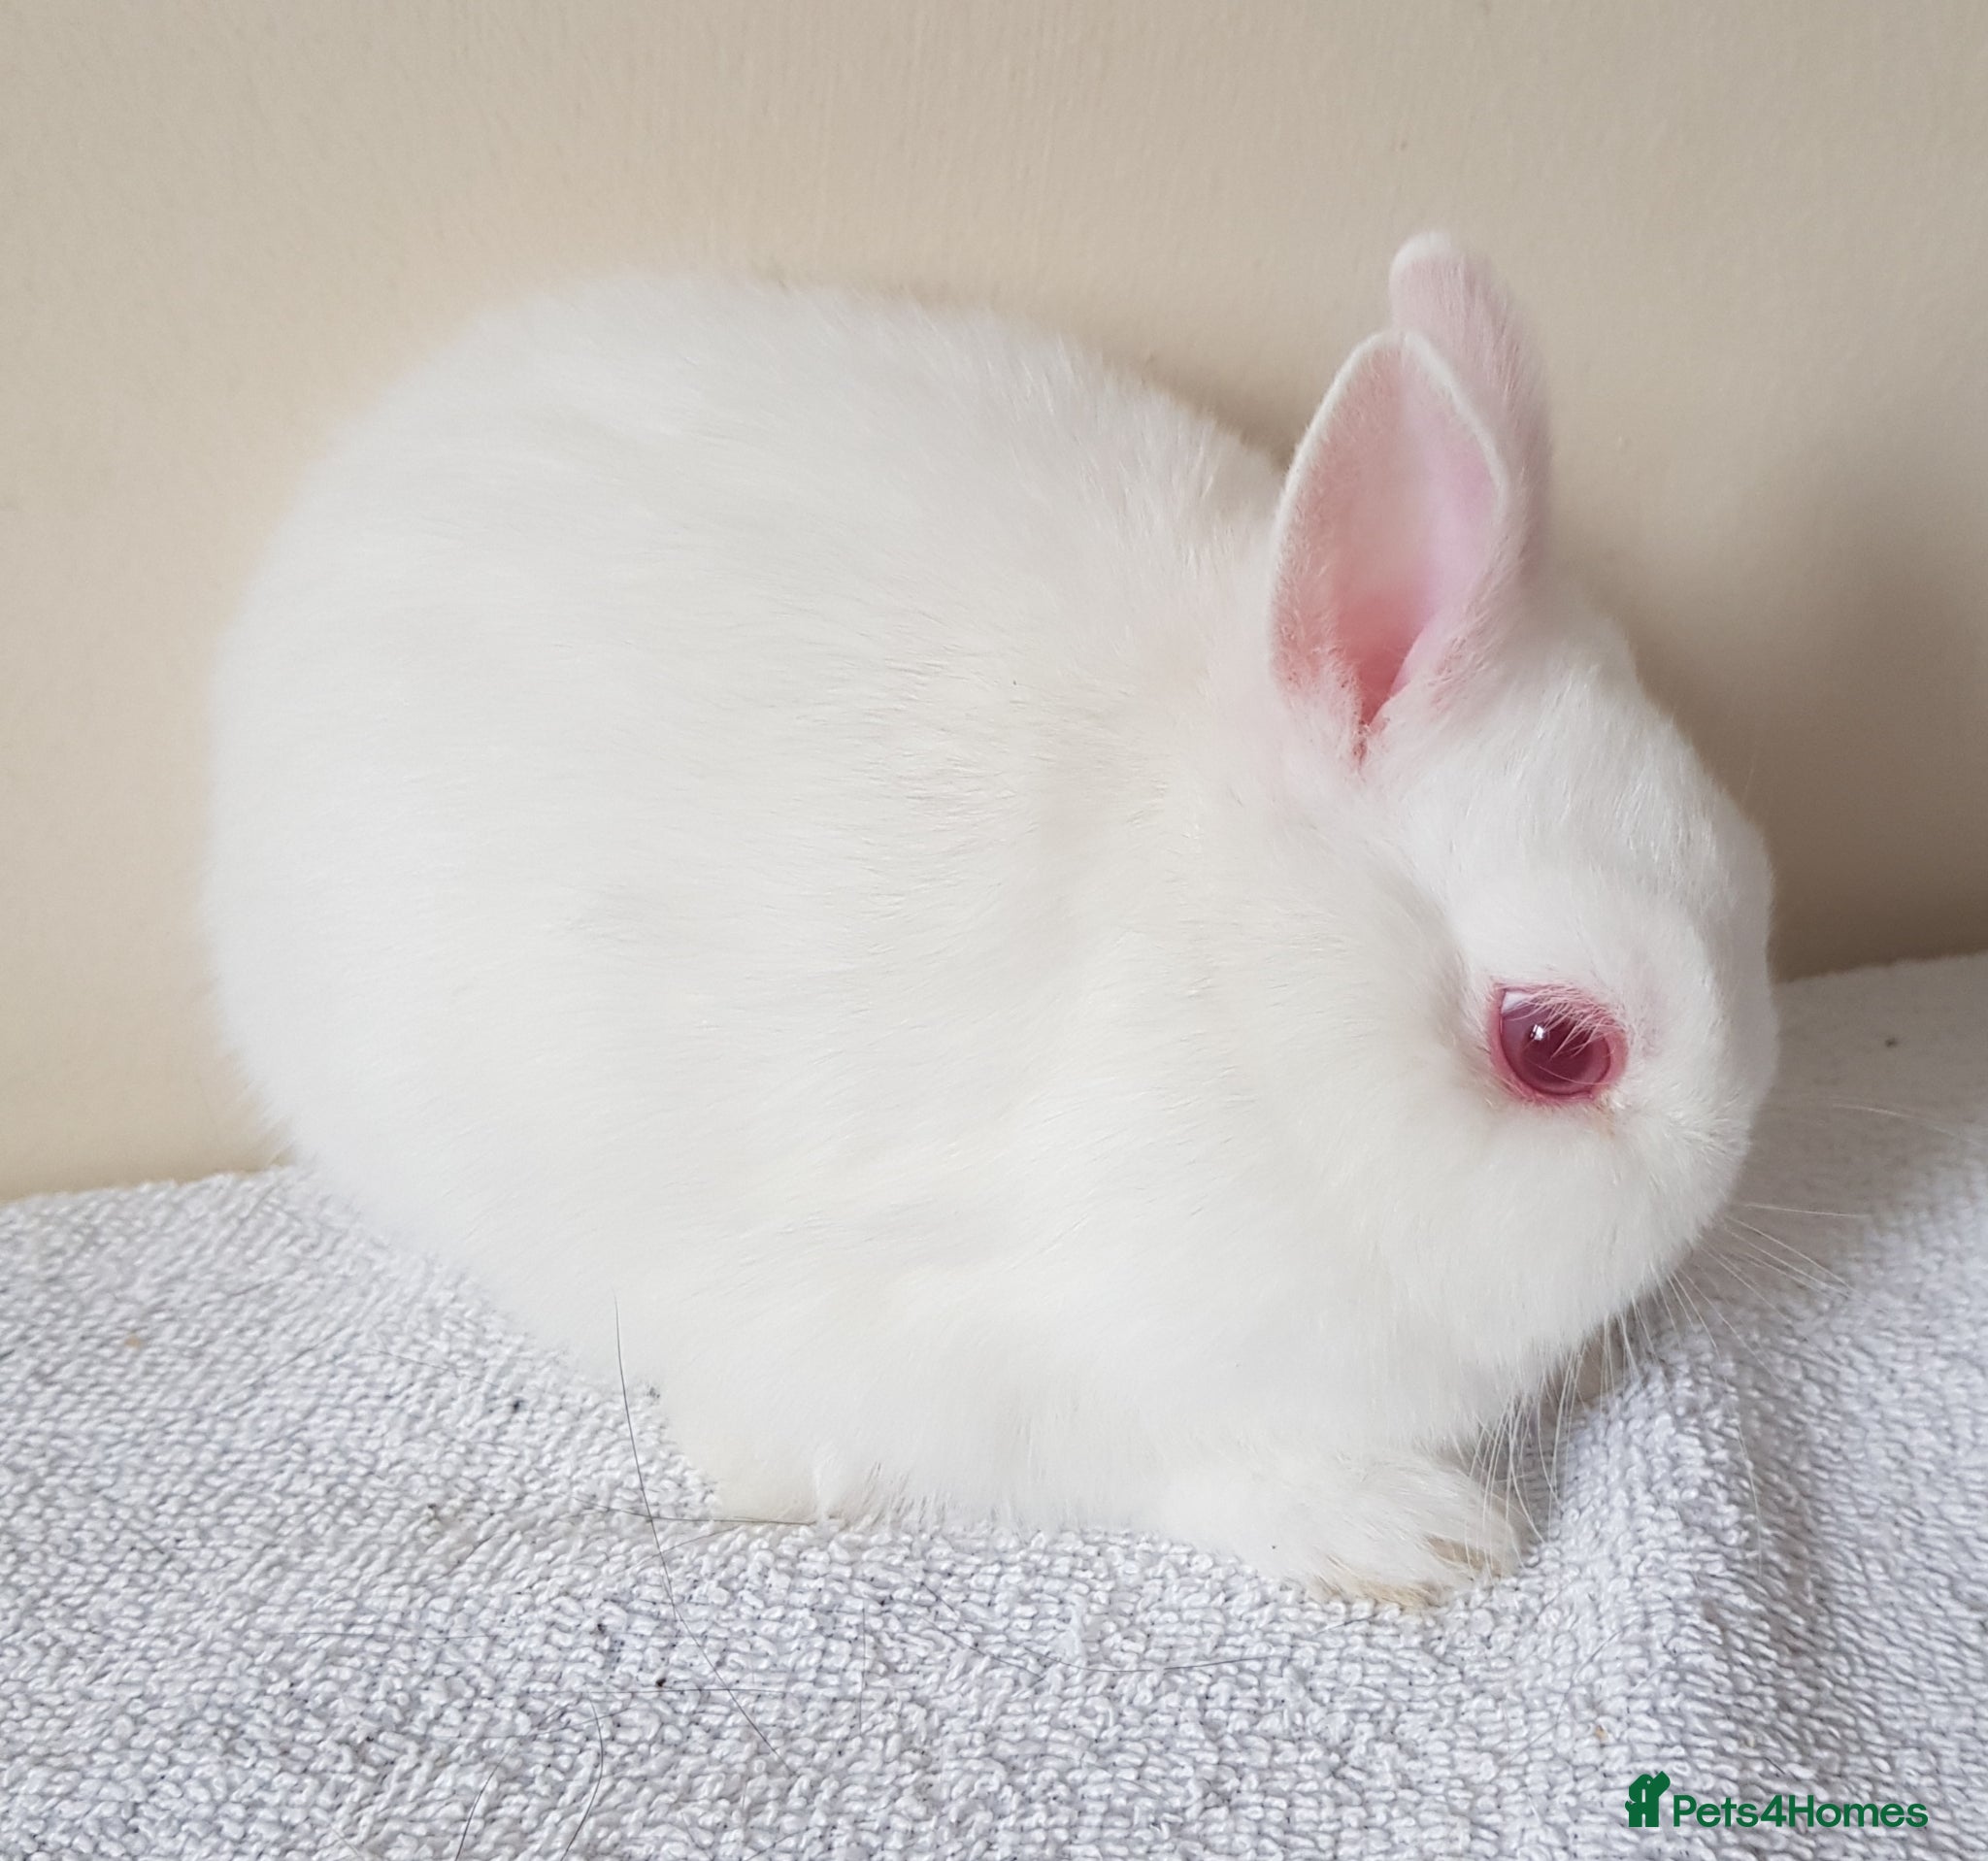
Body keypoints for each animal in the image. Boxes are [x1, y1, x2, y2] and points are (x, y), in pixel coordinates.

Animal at [205, 234, 1777, 1602]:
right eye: (1554, 1045)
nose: (1721, 1169)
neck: (1236, 1000)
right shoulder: (1008, 1356)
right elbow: (1185, 1462)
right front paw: (1411, 1531)